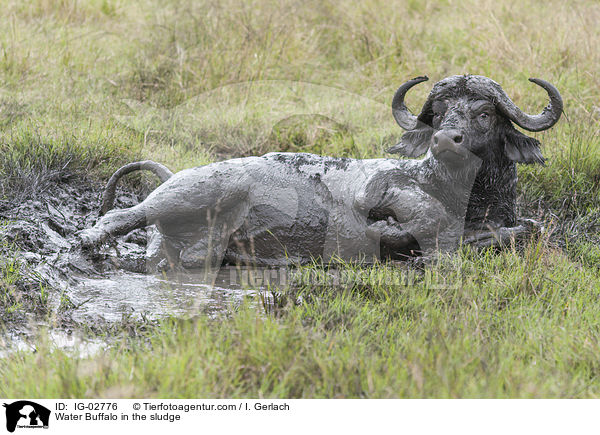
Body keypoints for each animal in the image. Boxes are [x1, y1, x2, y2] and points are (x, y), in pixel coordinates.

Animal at [79, 74, 564, 270]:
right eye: (441, 111)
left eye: (483, 113)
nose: (446, 140)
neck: (467, 193)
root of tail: (176, 173)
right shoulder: (375, 190)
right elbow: (430, 221)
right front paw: (405, 239)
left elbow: (529, 227)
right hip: (198, 190)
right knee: (119, 216)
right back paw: (89, 239)